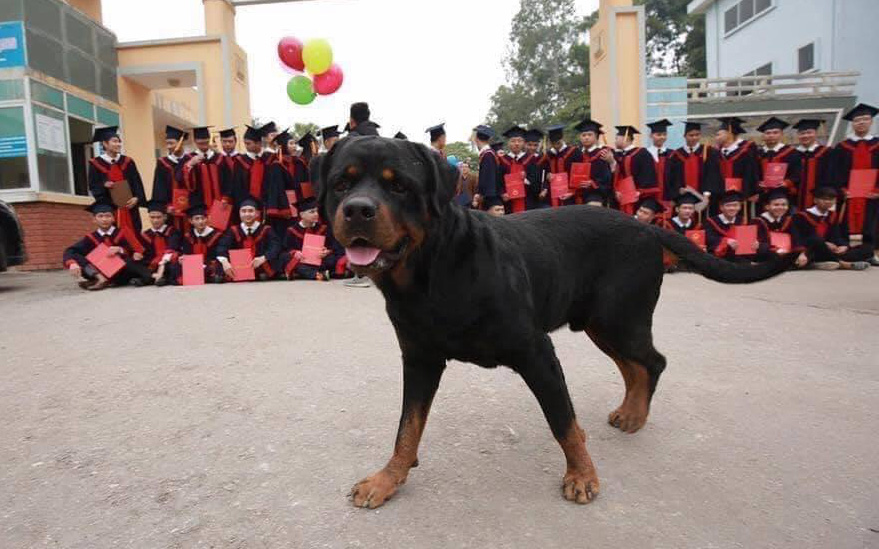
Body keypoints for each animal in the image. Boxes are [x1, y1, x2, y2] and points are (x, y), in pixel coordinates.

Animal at [318, 135, 796, 508]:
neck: (431, 272)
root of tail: (646, 227)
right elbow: (407, 427)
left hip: (619, 317)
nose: (358, 210)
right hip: (601, 323)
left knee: (652, 361)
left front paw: (583, 475)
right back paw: (629, 411)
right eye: (341, 183)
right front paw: (387, 479)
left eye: (399, 186)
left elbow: (562, 420)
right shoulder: (419, 358)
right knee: (635, 366)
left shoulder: (535, 352)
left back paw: (636, 415)